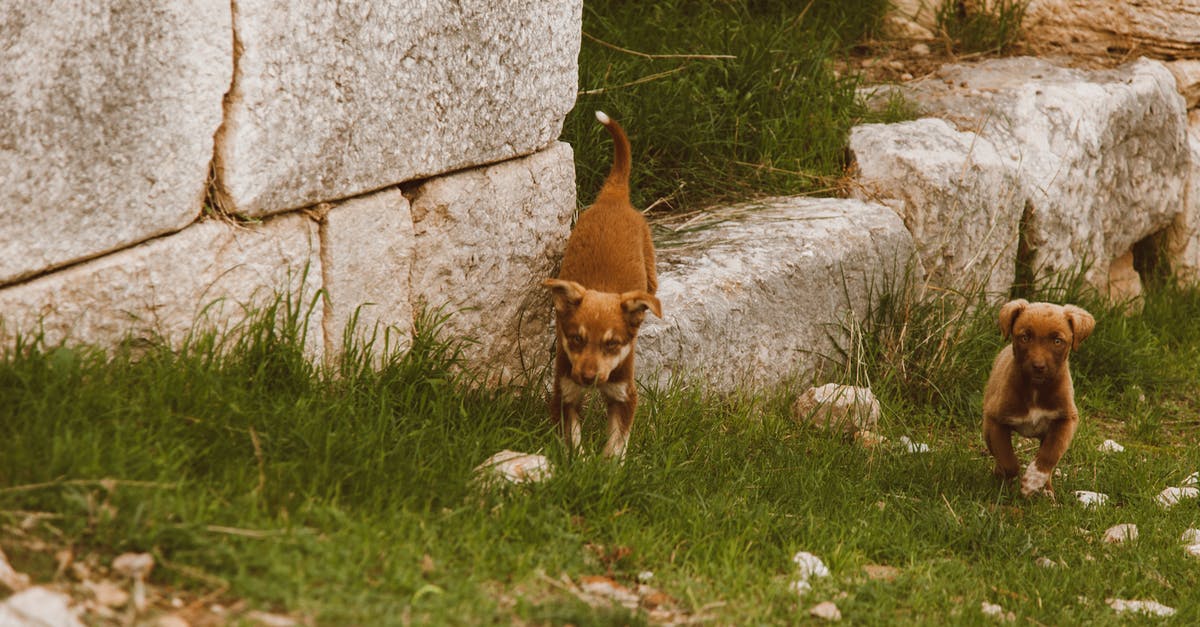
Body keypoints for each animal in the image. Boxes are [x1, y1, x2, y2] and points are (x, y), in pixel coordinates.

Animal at [542, 111, 662, 458]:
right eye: (576, 339)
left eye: (612, 344)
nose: (587, 376)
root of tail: (614, 196)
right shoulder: (565, 391)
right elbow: (572, 436)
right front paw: (579, 462)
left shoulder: (624, 394)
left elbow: (617, 442)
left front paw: (607, 465)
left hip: (651, 273)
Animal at [979, 297, 1094, 492]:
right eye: (1025, 337)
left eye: (1057, 341)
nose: (1038, 366)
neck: (1036, 389)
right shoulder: (995, 420)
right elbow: (1007, 459)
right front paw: (1006, 475)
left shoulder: (1066, 419)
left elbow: (1050, 454)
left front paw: (1033, 480)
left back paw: (1046, 490)